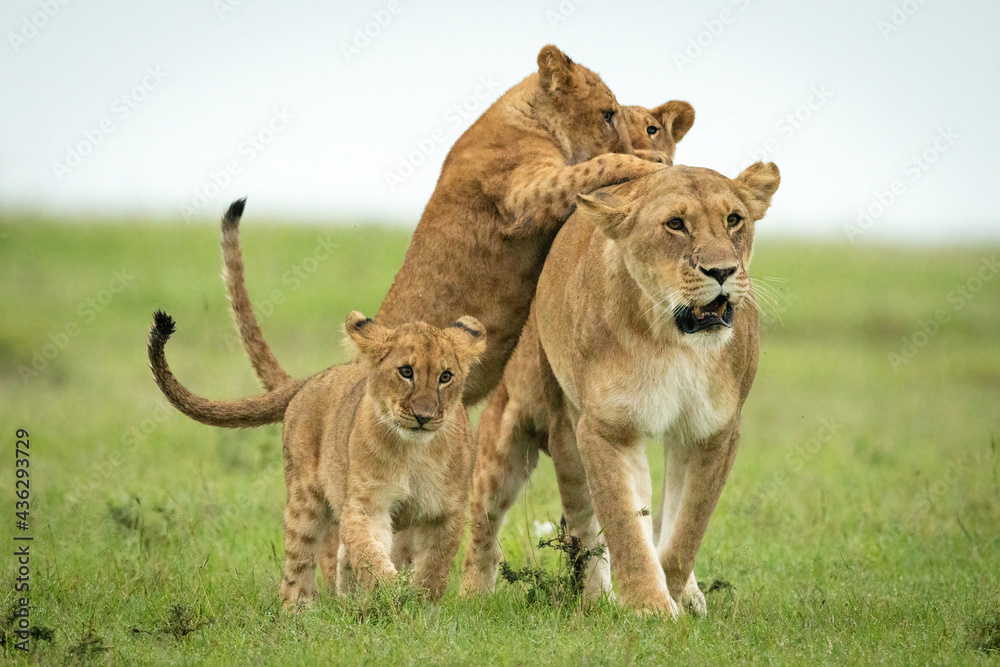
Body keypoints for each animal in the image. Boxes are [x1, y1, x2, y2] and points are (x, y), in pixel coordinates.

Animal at [147, 258, 486, 607]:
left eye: (445, 376)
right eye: (406, 372)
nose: (424, 416)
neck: (414, 451)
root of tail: (311, 378)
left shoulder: (447, 512)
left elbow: (434, 567)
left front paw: (419, 604)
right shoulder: (366, 505)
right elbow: (371, 555)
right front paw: (394, 593)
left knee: (342, 558)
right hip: (304, 497)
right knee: (299, 560)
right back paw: (300, 609)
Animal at [461, 162, 781, 617]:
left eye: (734, 219)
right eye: (675, 224)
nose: (722, 272)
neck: (673, 342)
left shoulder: (711, 433)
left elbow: (685, 529)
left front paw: (675, 594)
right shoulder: (608, 428)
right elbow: (624, 523)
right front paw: (649, 608)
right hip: (536, 429)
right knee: (509, 520)